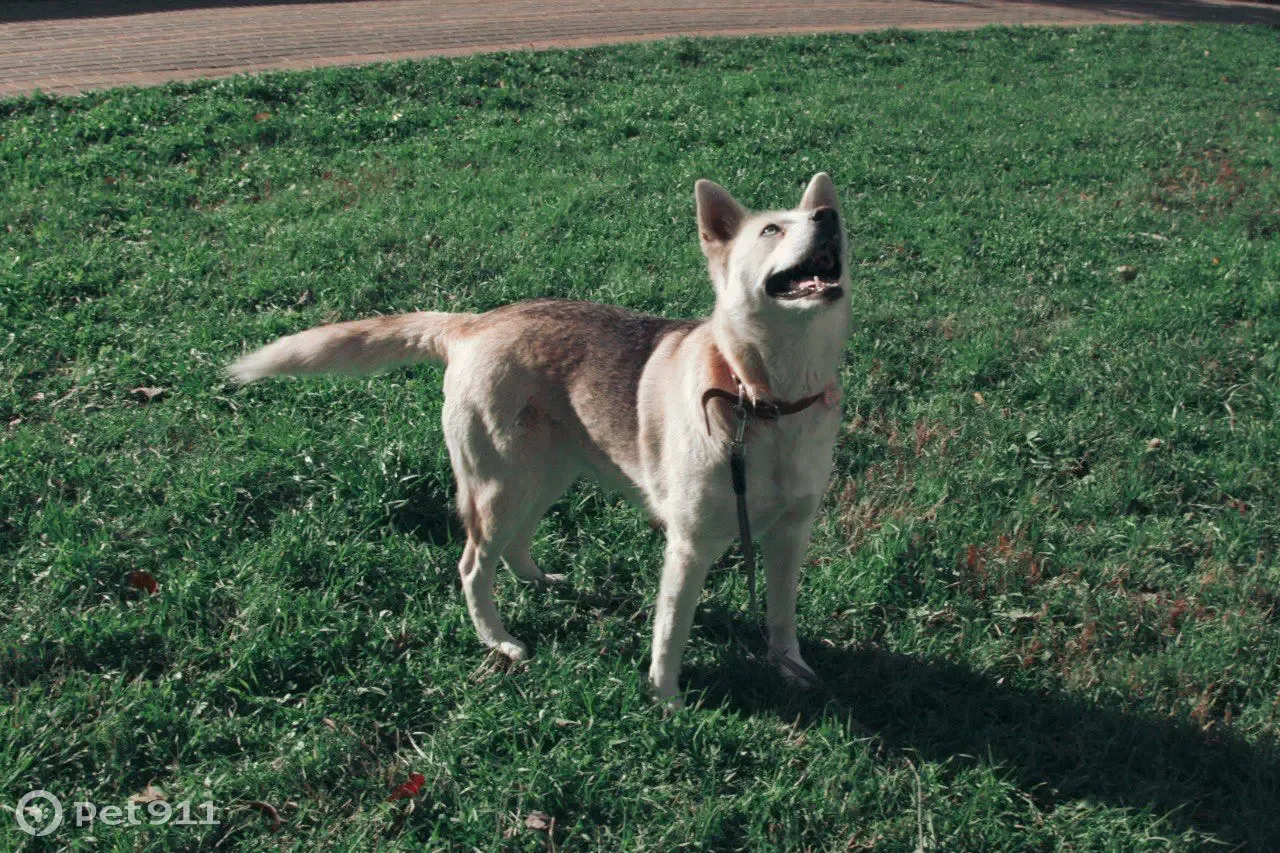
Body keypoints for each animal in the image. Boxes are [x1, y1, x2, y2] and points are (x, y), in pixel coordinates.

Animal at [230, 172, 849, 701]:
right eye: (771, 229)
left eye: (822, 214)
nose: (828, 217)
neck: (767, 398)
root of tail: (473, 323)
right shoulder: (689, 546)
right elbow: (670, 634)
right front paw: (666, 700)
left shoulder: (791, 535)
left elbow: (782, 616)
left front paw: (792, 670)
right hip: (499, 488)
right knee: (474, 566)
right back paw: (499, 641)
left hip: (543, 475)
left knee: (514, 546)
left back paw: (542, 581)